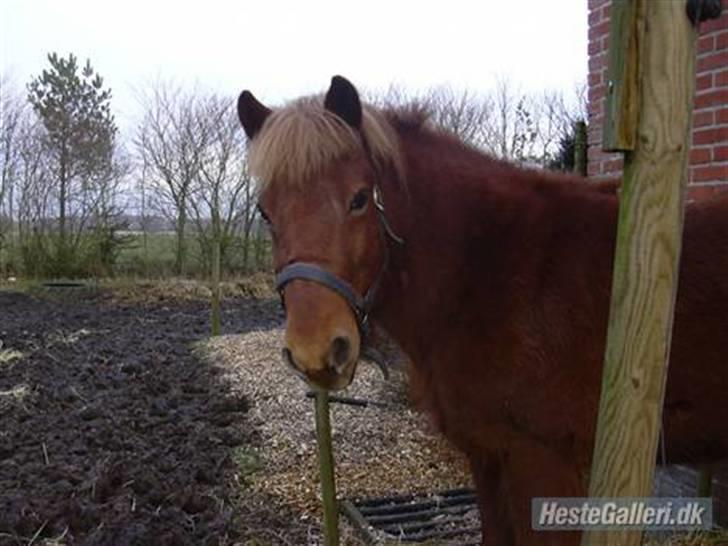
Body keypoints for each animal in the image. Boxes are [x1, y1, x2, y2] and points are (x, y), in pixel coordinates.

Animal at [237, 76, 728, 544]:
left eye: (359, 199)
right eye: (264, 212)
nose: (316, 351)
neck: (491, 268)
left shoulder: (544, 462)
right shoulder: (488, 455)